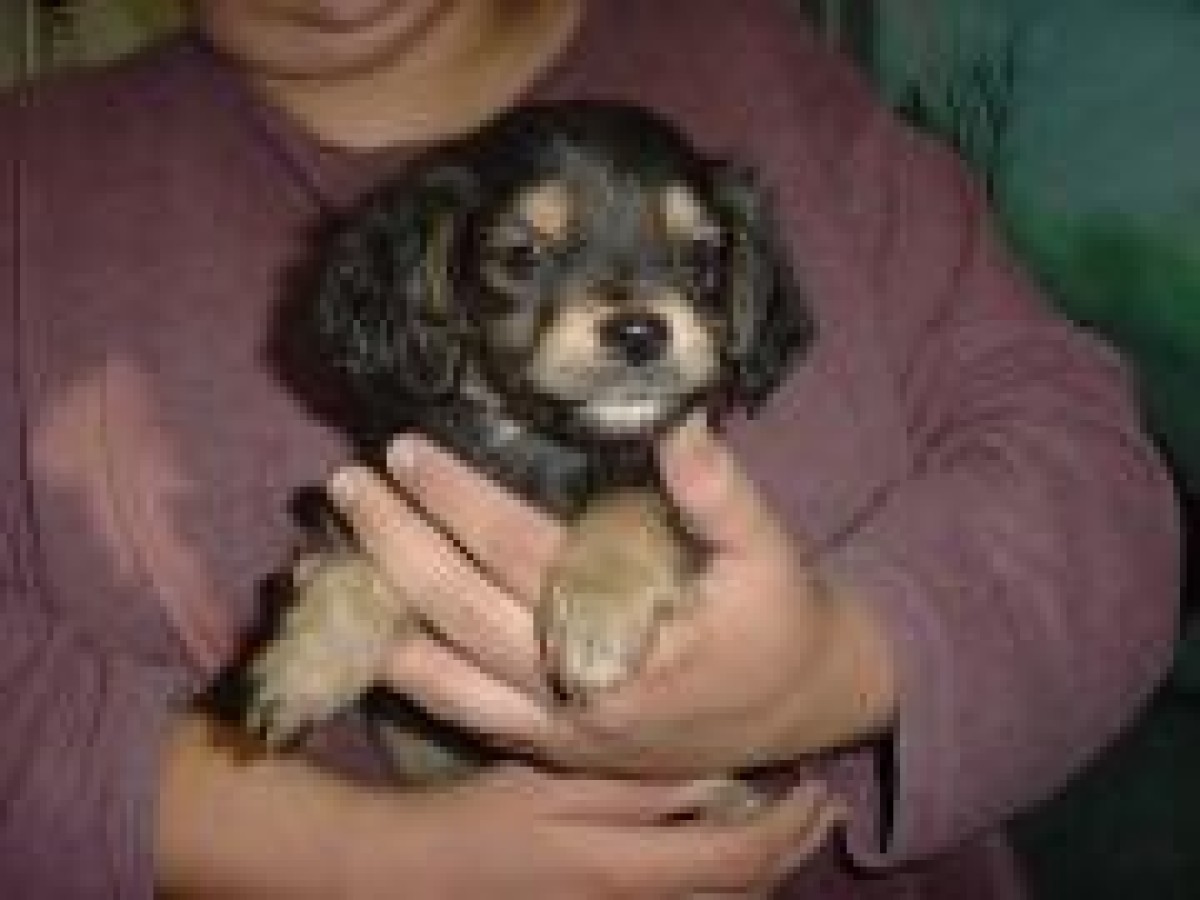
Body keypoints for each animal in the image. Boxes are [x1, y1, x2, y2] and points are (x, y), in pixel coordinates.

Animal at [241, 103, 814, 784]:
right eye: (520, 255)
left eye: (701, 255)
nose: (639, 332)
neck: (543, 441)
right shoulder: (388, 479)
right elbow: (365, 548)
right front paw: (306, 663)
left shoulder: (677, 478)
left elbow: (639, 496)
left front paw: (599, 608)